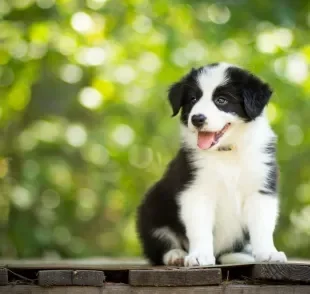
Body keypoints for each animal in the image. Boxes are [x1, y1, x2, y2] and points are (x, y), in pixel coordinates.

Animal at [137, 62, 286, 266]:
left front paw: (269, 253)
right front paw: (199, 255)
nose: (197, 119)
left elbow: (262, 226)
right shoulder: (195, 190)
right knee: (159, 243)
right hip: (152, 207)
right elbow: (199, 228)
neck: (227, 153)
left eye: (221, 100)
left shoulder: (261, 189)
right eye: (192, 99)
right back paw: (176, 255)